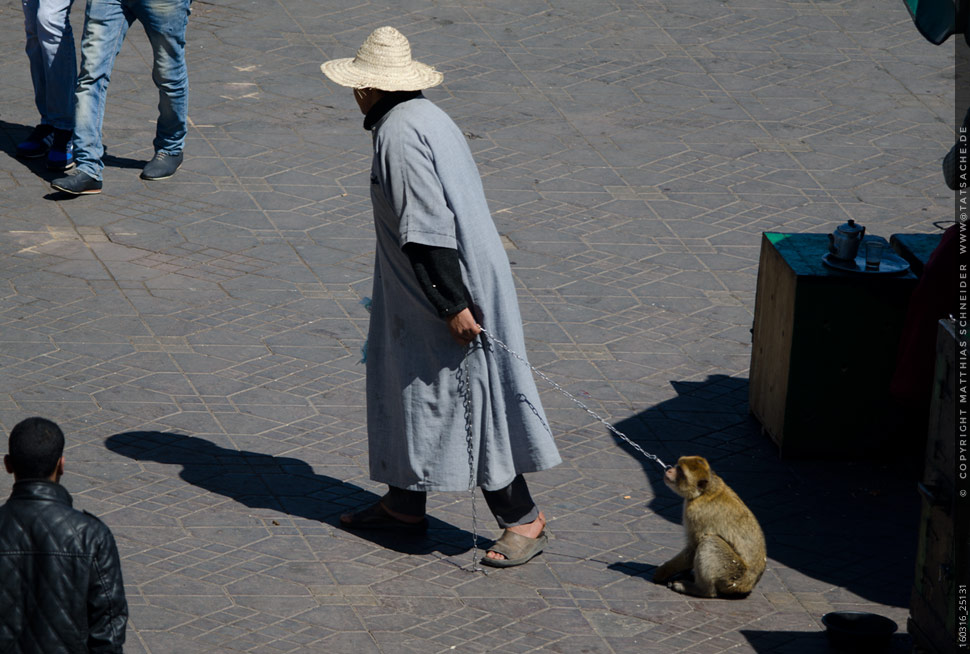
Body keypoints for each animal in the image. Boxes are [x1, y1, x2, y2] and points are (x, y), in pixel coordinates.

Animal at [652, 456, 764, 600]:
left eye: (680, 471)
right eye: (678, 465)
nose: (670, 470)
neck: (705, 492)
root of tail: (748, 585)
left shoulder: (695, 513)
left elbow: (693, 548)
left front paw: (663, 572)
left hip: (733, 575)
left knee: (709, 542)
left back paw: (702, 590)